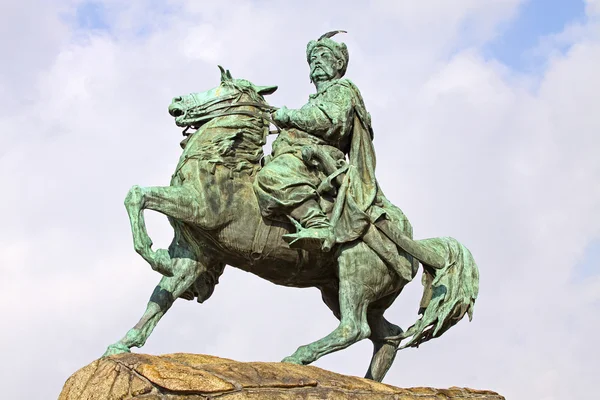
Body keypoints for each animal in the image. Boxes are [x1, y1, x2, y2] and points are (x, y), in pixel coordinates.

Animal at [103, 67, 478, 382]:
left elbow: (137, 195)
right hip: (339, 290)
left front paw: (153, 255)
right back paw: (369, 381)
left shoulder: (198, 209)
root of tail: (412, 243)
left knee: (355, 328)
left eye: (223, 86)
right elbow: (160, 298)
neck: (221, 164)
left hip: (353, 275)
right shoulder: (194, 254)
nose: (177, 102)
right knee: (386, 335)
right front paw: (123, 343)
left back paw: (298, 357)